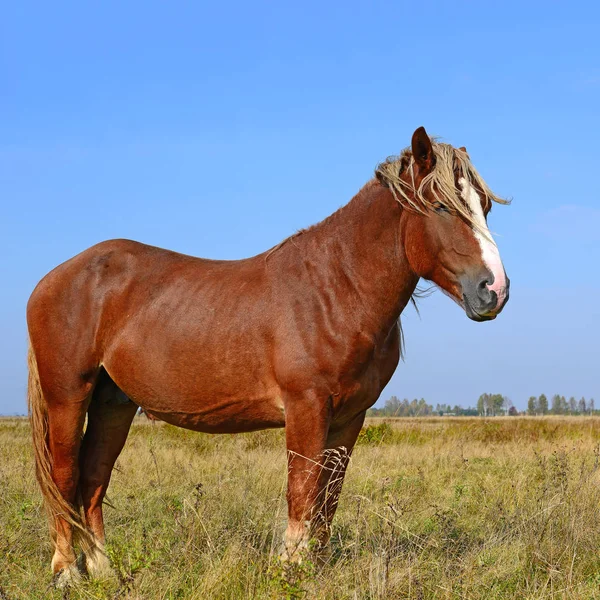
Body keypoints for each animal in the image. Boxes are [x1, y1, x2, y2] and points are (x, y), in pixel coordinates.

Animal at [25, 127, 508, 584]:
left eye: (484, 206)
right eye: (442, 206)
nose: (494, 290)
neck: (337, 287)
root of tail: (51, 280)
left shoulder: (349, 418)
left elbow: (328, 498)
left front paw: (316, 567)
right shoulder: (306, 406)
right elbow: (302, 492)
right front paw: (291, 568)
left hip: (113, 402)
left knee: (92, 478)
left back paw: (103, 569)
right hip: (69, 396)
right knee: (64, 477)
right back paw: (67, 572)